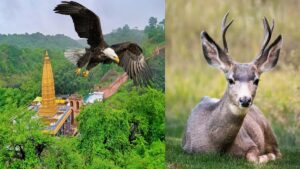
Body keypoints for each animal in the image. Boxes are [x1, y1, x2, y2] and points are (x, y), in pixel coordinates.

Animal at [182, 12, 282, 164]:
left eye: (257, 80)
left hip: (268, 130)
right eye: (230, 80)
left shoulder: (250, 142)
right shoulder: (186, 148)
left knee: (278, 152)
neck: (216, 146)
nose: (245, 100)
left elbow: (253, 157)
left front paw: (264, 157)